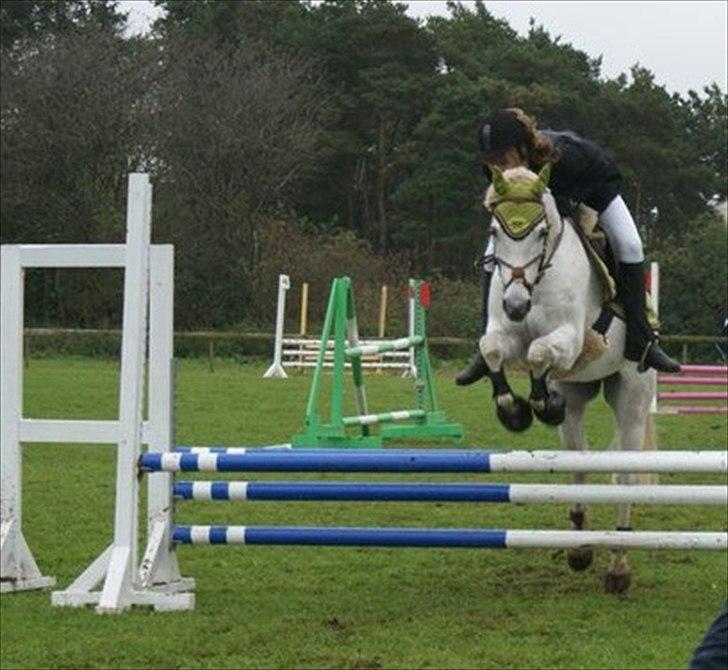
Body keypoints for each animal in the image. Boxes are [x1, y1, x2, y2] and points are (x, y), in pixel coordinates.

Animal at [480, 165, 656, 596]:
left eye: (541, 232)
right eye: (495, 230)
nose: (516, 306)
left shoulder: (574, 339)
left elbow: (538, 353)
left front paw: (540, 405)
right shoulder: (504, 333)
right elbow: (491, 349)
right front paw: (515, 410)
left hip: (632, 399)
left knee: (626, 477)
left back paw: (618, 567)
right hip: (579, 398)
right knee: (579, 464)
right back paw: (580, 549)